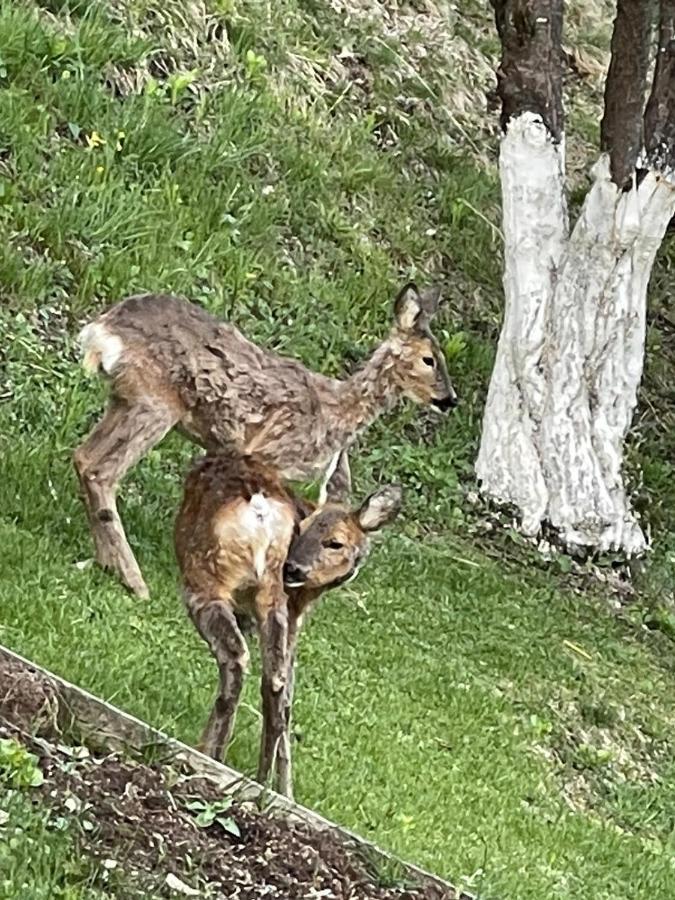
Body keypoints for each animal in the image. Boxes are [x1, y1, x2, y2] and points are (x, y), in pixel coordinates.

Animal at [72, 284, 454, 600]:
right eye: (429, 359)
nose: (450, 399)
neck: (332, 412)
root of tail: (101, 331)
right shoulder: (264, 453)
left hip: (127, 400)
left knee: (82, 457)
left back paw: (106, 562)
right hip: (155, 402)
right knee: (101, 469)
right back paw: (135, 582)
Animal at [174, 450, 402, 796]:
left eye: (335, 543)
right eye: (304, 527)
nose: (294, 568)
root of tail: (258, 510)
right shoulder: (293, 616)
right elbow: (290, 696)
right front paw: (287, 791)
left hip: (204, 581)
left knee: (236, 659)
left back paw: (210, 757)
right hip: (272, 595)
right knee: (277, 683)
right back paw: (260, 784)